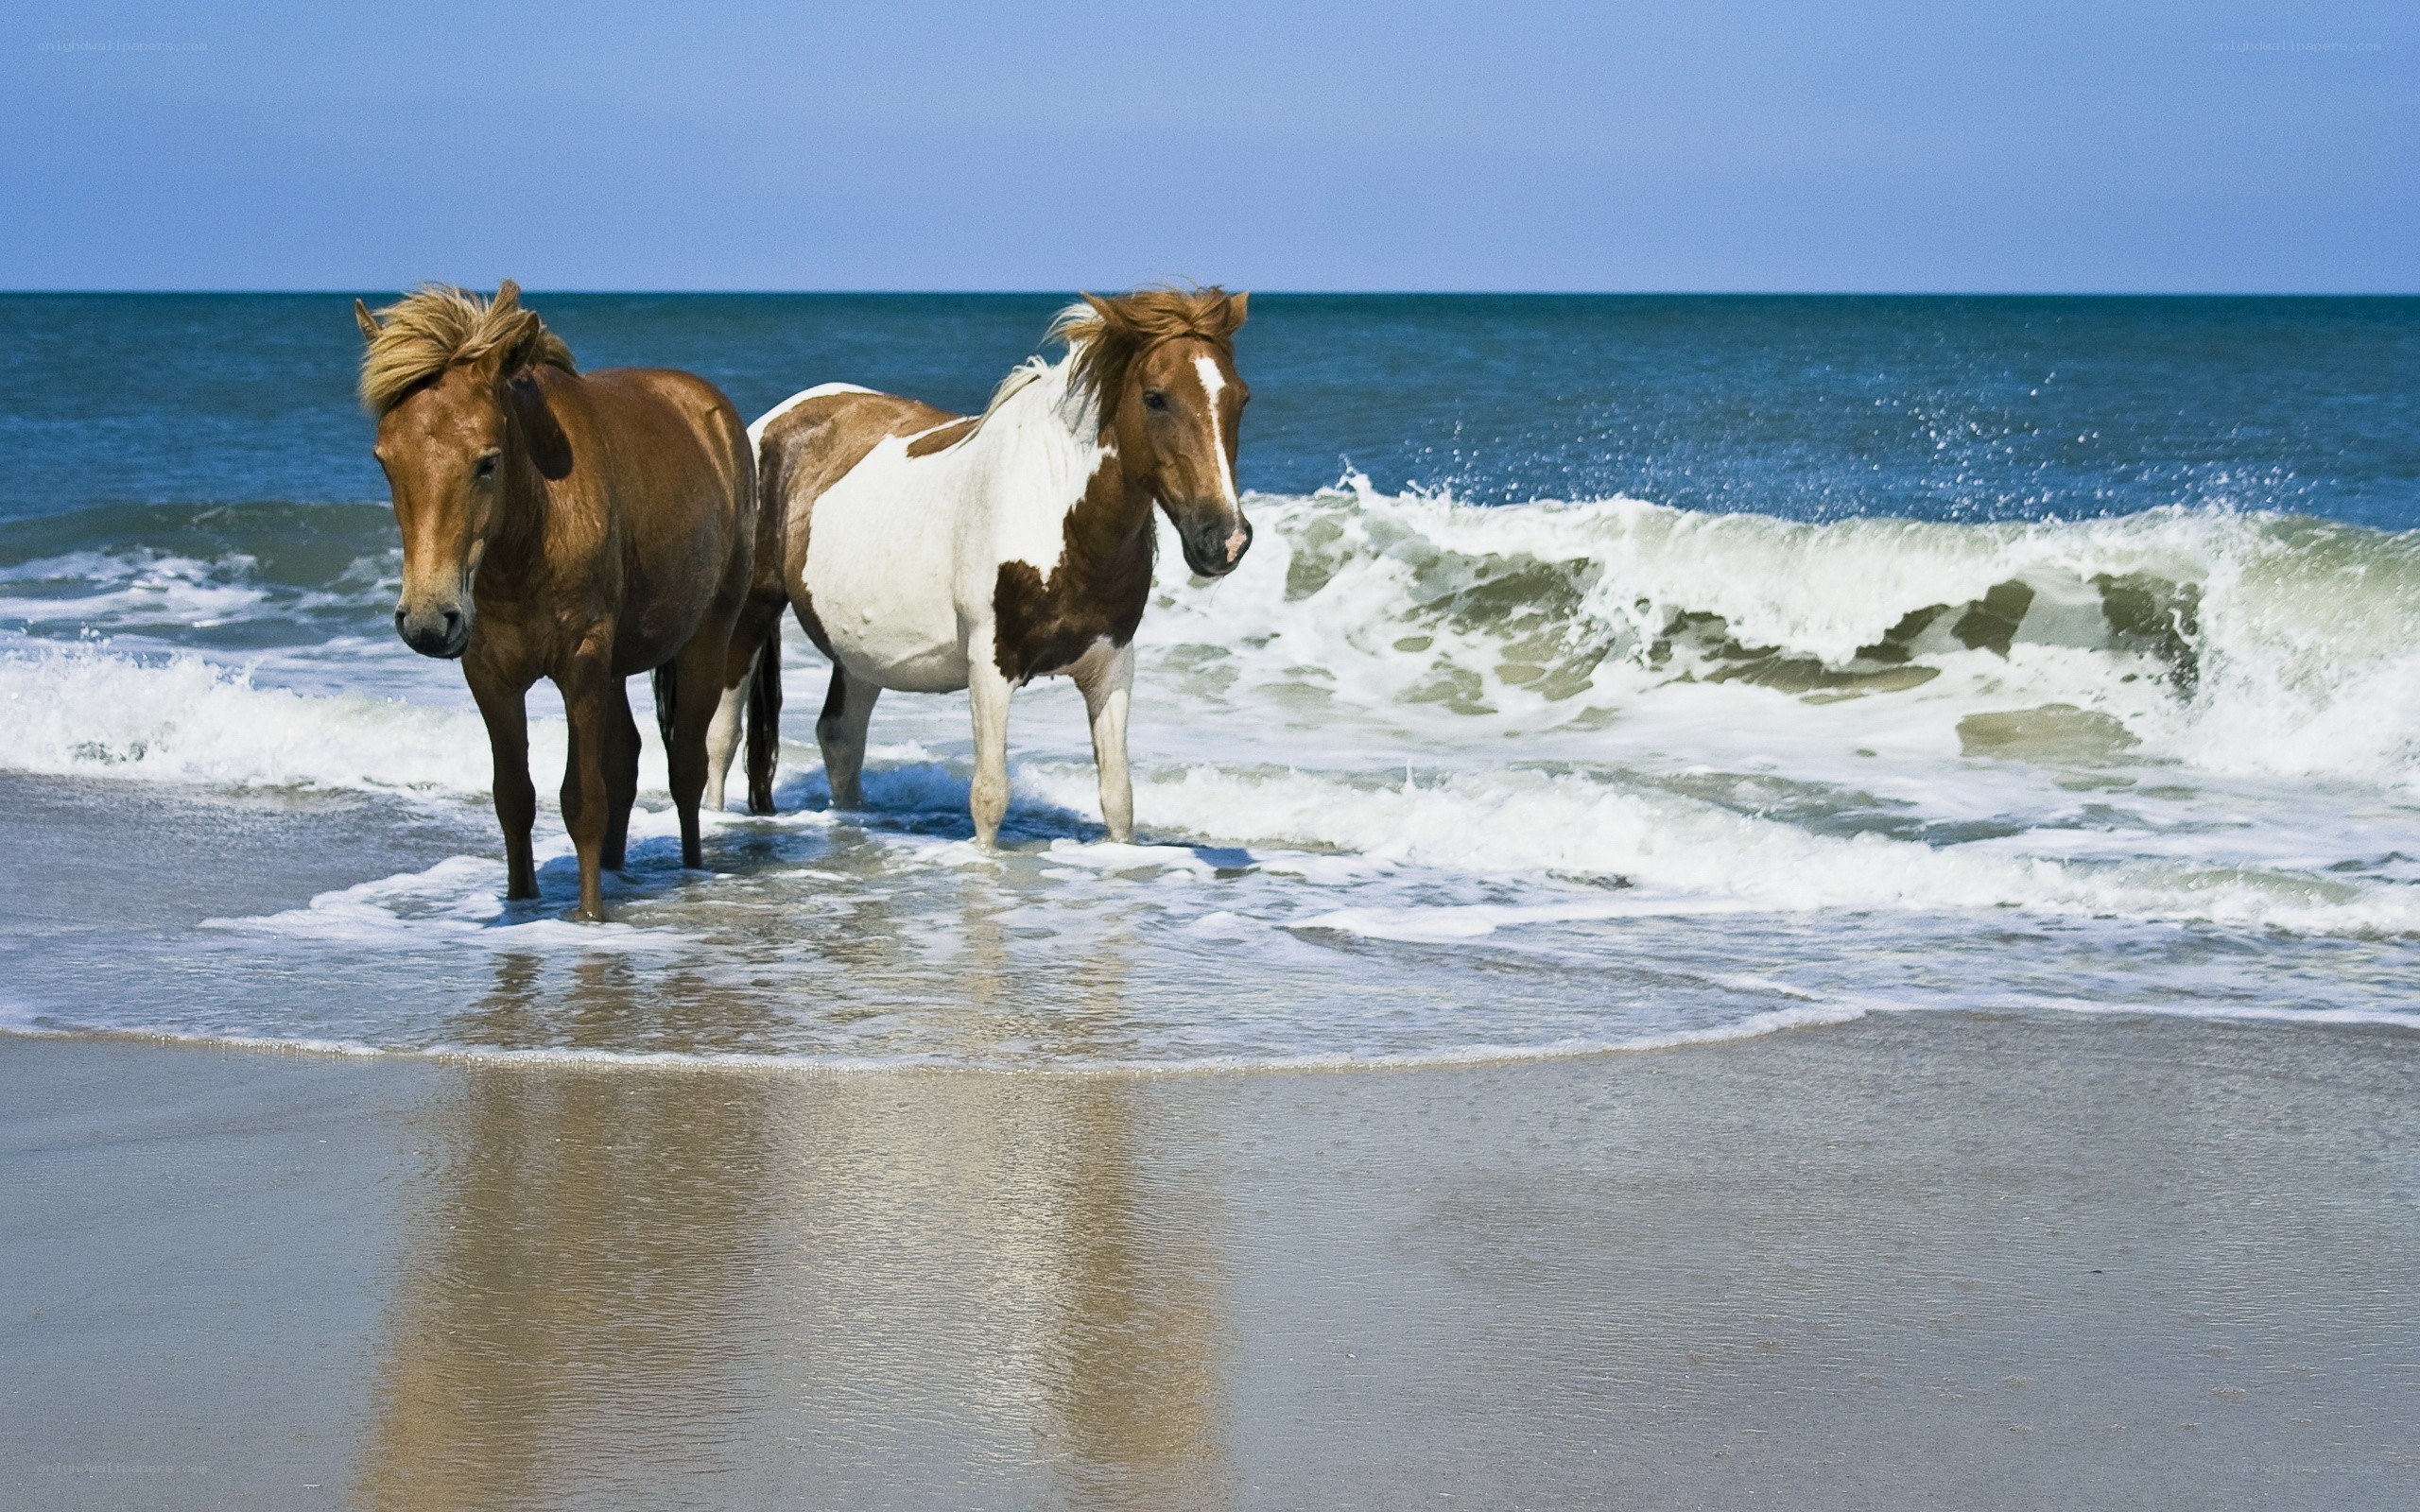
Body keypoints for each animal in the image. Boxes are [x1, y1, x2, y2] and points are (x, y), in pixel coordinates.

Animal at [355, 282, 757, 921]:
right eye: (385, 461)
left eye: (487, 462)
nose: (427, 622)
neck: (532, 533)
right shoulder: (490, 674)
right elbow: (514, 797)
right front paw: (522, 902)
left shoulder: (581, 663)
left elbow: (583, 800)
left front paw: (590, 916)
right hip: (617, 667)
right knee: (627, 759)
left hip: (705, 643)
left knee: (686, 765)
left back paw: (690, 870)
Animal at [707, 287, 1253, 847]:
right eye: (1155, 398)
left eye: (1240, 398)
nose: (1225, 538)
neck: (1053, 513)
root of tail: (770, 422)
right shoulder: (990, 666)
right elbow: (989, 796)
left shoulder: (1112, 666)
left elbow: (1118, 799)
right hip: (750, 613)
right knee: (722, 737)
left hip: (860, 651)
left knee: (839, 737)